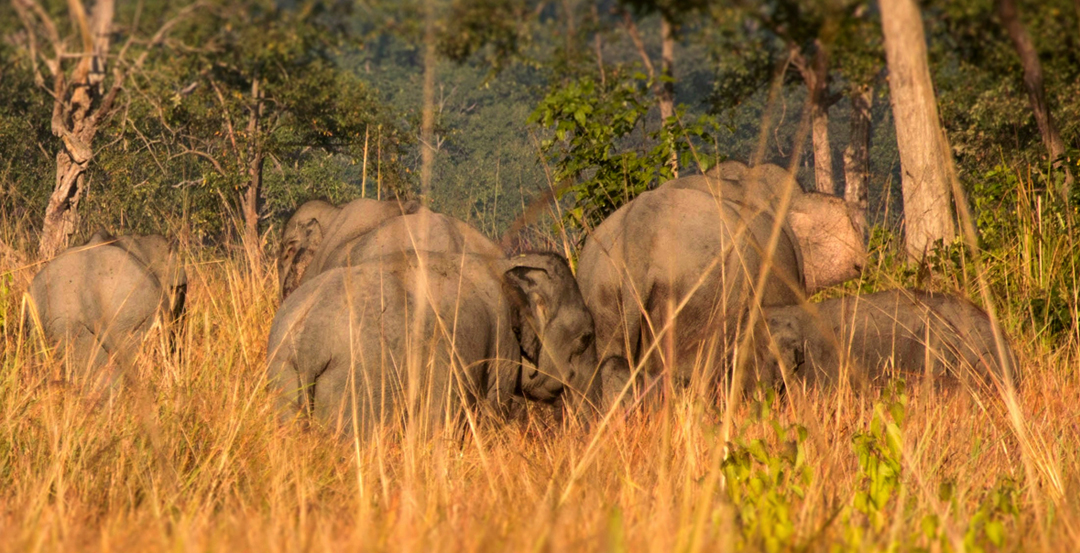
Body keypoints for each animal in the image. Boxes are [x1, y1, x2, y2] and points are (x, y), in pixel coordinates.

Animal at [262, 250, 600, 436]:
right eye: (586, 337)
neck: (504, 264)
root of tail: (307, 338)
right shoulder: (501, 344)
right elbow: (486, 409)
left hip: (283, 375)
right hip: (357, 382)